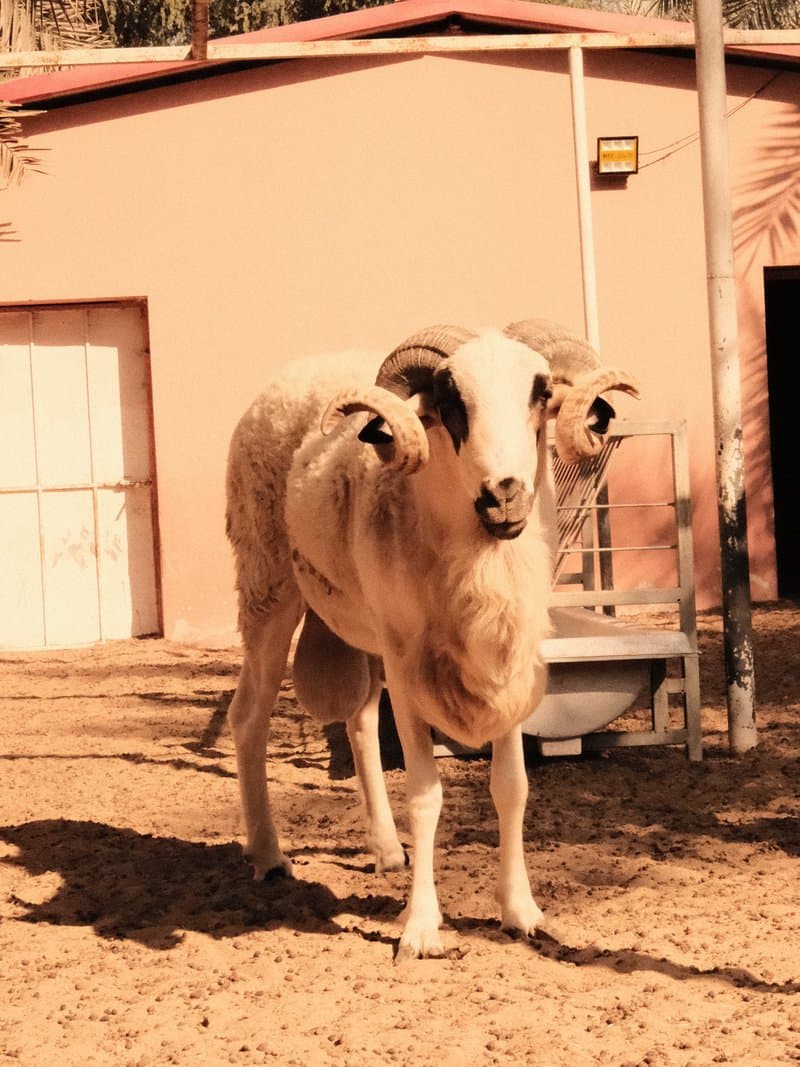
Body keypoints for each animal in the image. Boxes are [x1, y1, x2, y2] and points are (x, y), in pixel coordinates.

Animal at [225, 319, 638, 960]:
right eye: (449, 401)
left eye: (541, 392)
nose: (505, 494)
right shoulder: (409, 667)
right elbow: (425, 794)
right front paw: (420, 929)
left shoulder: (506, 663)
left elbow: (511, 787)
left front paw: (521, 912)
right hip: (268, 586)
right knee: (249, 717)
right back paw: (268, 855)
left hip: (367, 628)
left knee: (359, 721)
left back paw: (386, 849)